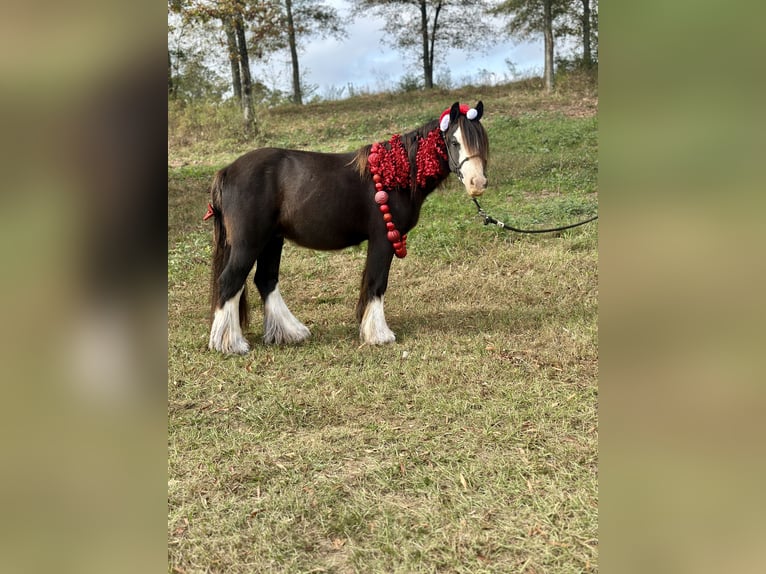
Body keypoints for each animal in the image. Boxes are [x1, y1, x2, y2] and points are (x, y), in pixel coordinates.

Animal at [207, 101, 488, 354]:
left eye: (483, 142)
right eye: (454, 141)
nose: (477, 183)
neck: (396, 172)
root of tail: (226, 171)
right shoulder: (383, 239)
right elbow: (376, 282)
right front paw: (379, 334)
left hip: (272, 240)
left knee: (266, 280)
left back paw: (290, 332)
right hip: (249, 242)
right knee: (230, 281)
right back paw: (230, 344)